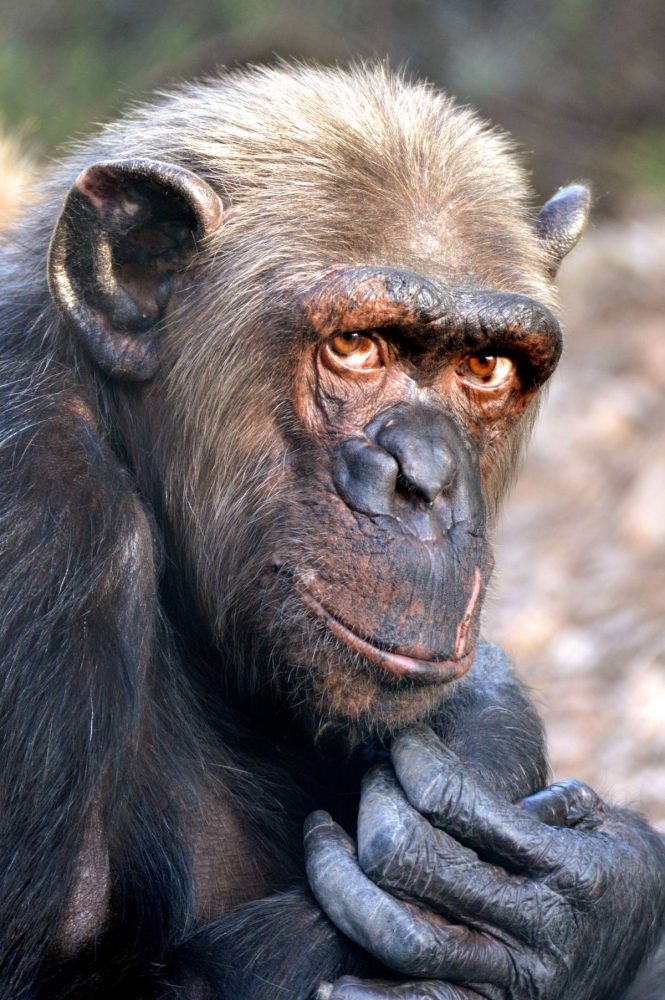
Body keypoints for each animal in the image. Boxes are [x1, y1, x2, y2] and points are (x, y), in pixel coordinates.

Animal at [0, 63, 663, 1000]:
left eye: (485, 366)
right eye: (355, 347)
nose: (425, 479)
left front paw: (585, 895)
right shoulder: (40, 519)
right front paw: (500, 760)